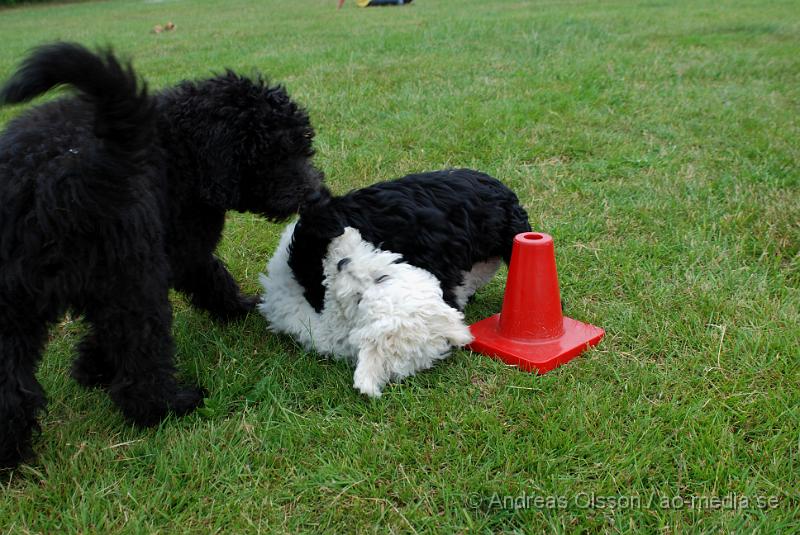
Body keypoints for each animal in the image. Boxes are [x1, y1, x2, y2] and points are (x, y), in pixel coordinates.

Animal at [0, 43, 324, 468]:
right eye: (273, 152)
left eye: (303, 143)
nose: (316, 192)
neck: (180, 146)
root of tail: (48, 185)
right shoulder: (180, 245)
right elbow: (211, 277)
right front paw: (239, 307)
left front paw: (90, 366)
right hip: (133, 278)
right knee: (141, 355)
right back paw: (168, 406)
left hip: (15, 309)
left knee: (9, 388)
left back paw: (9, 454)